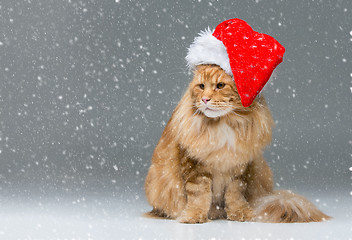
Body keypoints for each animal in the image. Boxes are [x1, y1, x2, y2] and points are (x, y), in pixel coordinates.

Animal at [144, 64, 332, 223]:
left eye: (220, 86)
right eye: (201, 86)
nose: (205, 99)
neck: (223, 124)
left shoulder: (239, 167)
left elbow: (234, 195)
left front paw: (239, 213)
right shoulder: (195, 166)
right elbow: (199, 196)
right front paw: (194, 216)